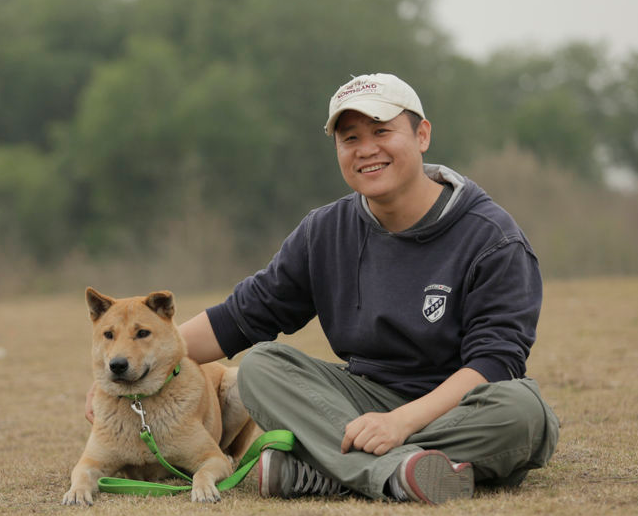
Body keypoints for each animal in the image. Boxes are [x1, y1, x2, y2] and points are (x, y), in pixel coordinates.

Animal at [60, 288, 260, 506]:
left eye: (142, 333)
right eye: (108, 335)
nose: (117, 365)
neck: (138, 401)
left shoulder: (213, 458)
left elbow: (202, 473)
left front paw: (204, 489)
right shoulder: (91, 461)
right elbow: (80, 474)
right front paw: (76, 492)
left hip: (234, 383)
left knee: (230, 450)